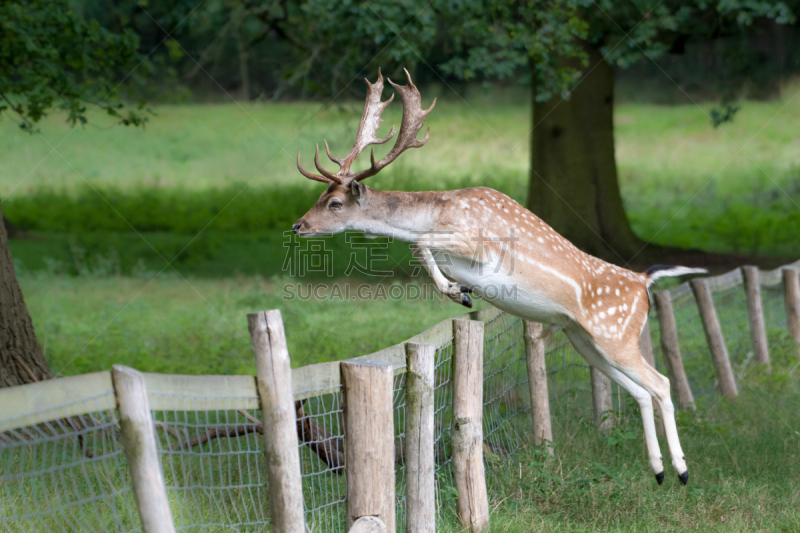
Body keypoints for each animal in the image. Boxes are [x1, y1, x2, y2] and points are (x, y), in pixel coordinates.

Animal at [290, 68, 704, 484]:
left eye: (335, 203)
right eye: (319, 197)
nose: (298, 225)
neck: (438, 211)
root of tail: (643, 282)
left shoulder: (478, 243)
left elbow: (420, 243)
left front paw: (458, 291)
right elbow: (421, 246)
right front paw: (459, 289)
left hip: (615, 335)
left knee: (661, 383)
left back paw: (682, 470)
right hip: (586, 340)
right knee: (640, 391)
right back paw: (659, 471)